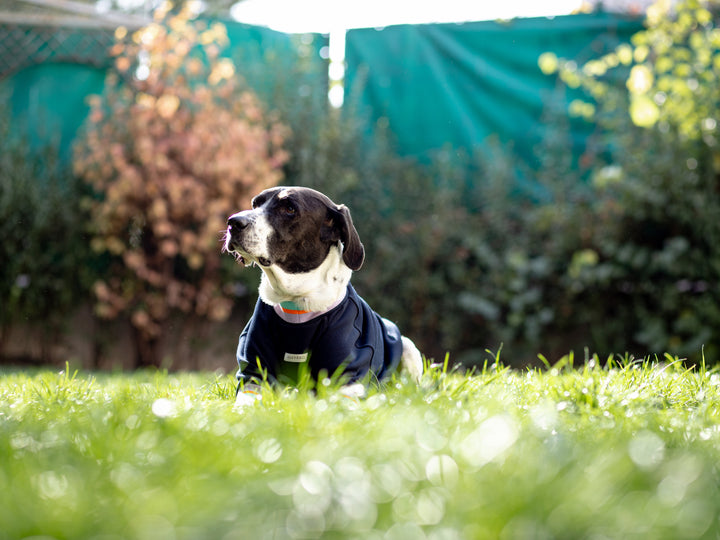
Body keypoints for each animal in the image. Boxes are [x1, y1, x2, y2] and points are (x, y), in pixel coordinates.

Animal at [224, 188, 422, 398]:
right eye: (255, 204)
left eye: (289, 208)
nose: (233, 222)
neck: (296, 300)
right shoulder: (254, 374)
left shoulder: (348, 378)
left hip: (408, 348)